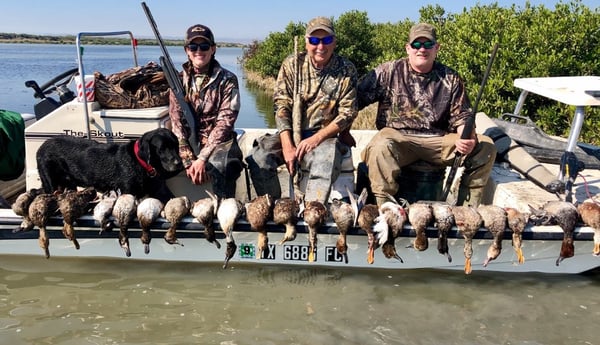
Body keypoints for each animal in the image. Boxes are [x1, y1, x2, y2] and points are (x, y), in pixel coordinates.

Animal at [37, 127, 183, 200]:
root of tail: (42, 146)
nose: (179, 164)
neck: (139, 163)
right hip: (51, 183)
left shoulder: (158, 190)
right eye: (162, 149)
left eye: (176, 145)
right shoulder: (128, 191)